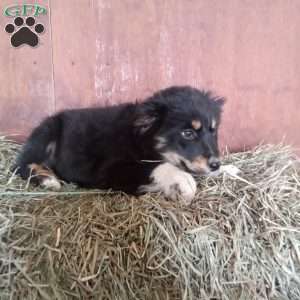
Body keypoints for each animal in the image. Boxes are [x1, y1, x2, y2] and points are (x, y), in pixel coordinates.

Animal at [15, 86, 224, 204]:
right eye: (188, 133)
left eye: (213, 131)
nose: (215, 164)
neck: (142, 138)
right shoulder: (110, 169)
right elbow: (153, 167)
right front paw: (182, 180)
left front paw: (227, 169)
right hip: (47, 131)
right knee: (21, 165)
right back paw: (48, 179)